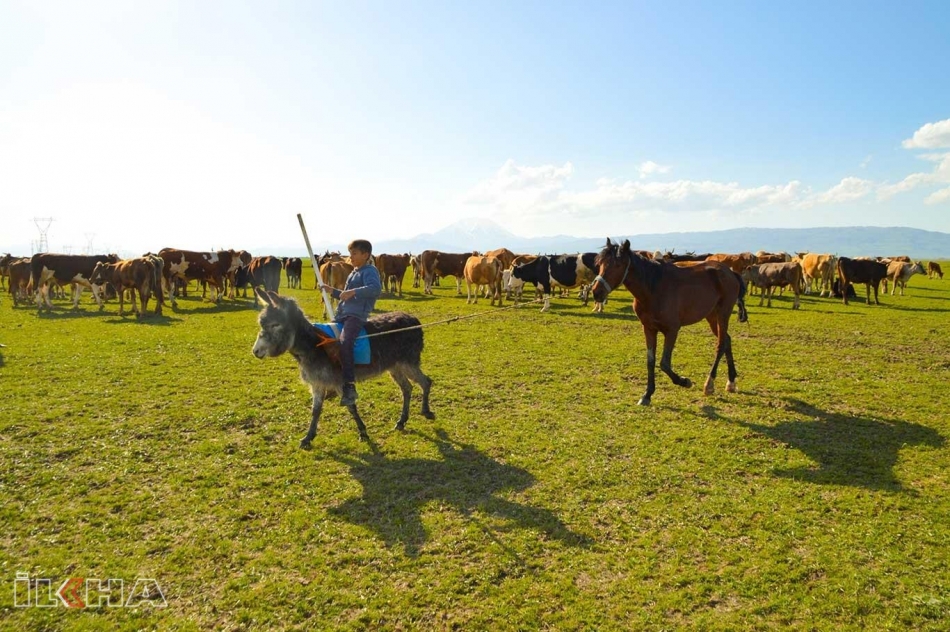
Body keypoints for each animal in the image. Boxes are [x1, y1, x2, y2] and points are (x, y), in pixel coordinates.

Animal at [592, 237, 748, 404]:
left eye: (618, 264)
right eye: (600, 264)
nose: (596, 292)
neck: (653, 289)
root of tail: (730, 272)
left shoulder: (672, 330)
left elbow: (664, 364)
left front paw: (684, 381)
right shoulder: (648, 328)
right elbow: (651, 361)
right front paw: (647, 394)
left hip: (723, 314)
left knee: (721, 344)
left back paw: (709, 384)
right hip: (711, 317)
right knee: (727, 340)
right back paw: (731, 382)